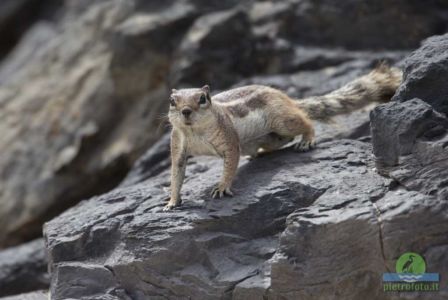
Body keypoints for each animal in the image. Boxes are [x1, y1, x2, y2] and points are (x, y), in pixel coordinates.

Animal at [164, 65, 402, 211]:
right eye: (172, 101)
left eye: (203, 99)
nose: (186, 111)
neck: (195, 131)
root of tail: (288, 100)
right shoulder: (178, 145)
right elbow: (176, 173)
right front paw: (172, 201)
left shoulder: (229, 139)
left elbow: (230, 164)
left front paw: (222, 186)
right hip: (271, 137)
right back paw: (260, 153)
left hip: (283, 121)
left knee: (306, 120)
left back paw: (307, 139)